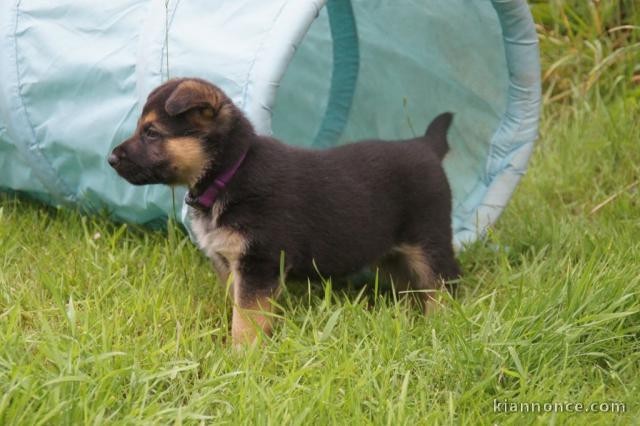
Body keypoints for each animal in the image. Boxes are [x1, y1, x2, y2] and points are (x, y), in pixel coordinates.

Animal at [110, 77, 460, 346]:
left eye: (151, 133)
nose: (111, 159)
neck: (231, 172)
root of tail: (425, 145)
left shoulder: (259, 263)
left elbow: (246, 318)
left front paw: (241, 358)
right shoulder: (232, 264)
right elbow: (238, 307)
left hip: (430, 242)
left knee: (444, 285)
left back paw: (441, 325)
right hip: (394, 255)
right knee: (414, 287)